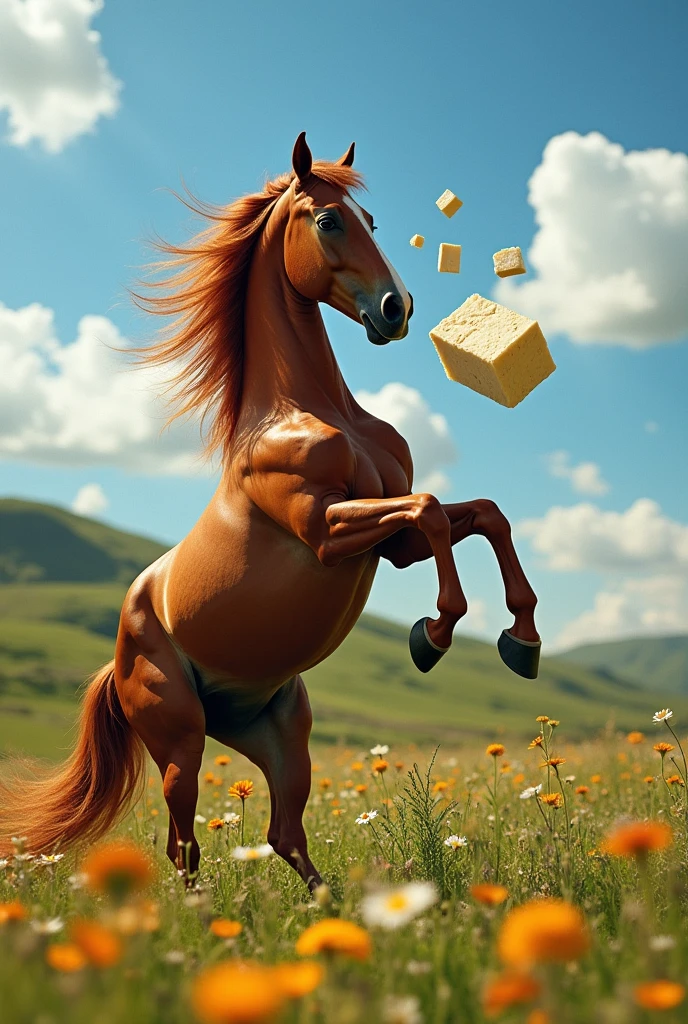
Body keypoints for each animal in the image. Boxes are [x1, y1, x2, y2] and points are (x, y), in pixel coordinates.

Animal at [0, 134, 544, 888]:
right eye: (329, 221)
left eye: (371, 220)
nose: (396, 308)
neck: (309, 411)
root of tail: (119, 653)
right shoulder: (325, 530)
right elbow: (433, 510)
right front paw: (431, 637)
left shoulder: (391, 544)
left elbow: (484, 515)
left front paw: (521, 641)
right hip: (181, 742)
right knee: (184, 844)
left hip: (282, 732)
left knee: (284, 833)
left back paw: (331, 907)